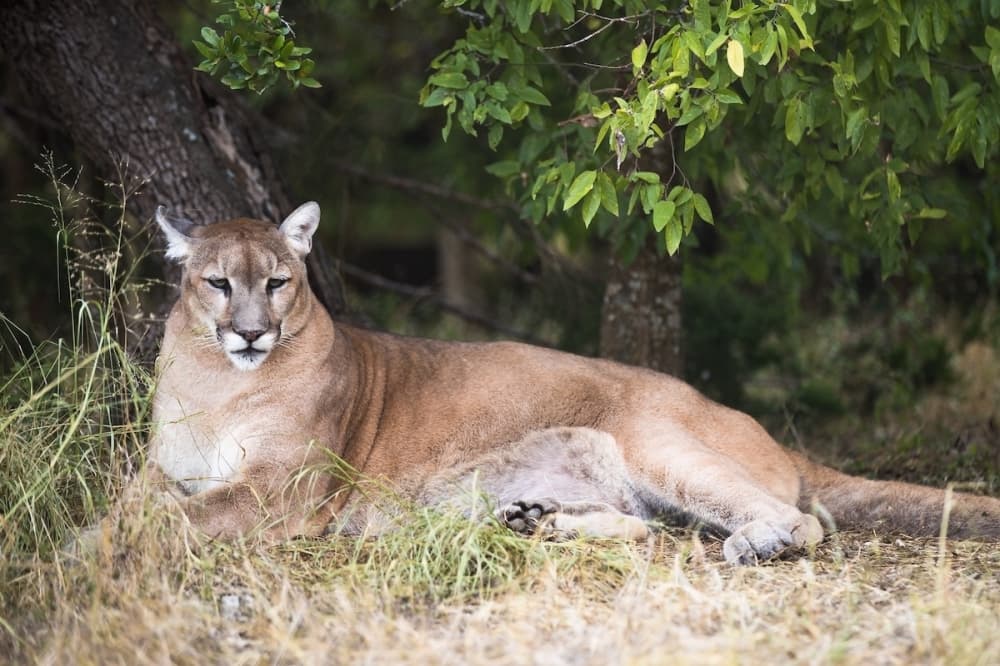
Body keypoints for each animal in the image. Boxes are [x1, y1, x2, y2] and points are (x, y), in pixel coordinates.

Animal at [140, 201, 1000, 565]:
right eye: (219, 284)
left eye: (278, 283)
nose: (253, 332)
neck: (217, 383)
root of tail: (763, 430)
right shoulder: (158, 469)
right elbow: (144, 505)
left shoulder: (277, 489)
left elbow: (173, 521)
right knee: (647, 529)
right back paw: (536, 521)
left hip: (663, 448)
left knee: (796, 521)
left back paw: (754, 544)